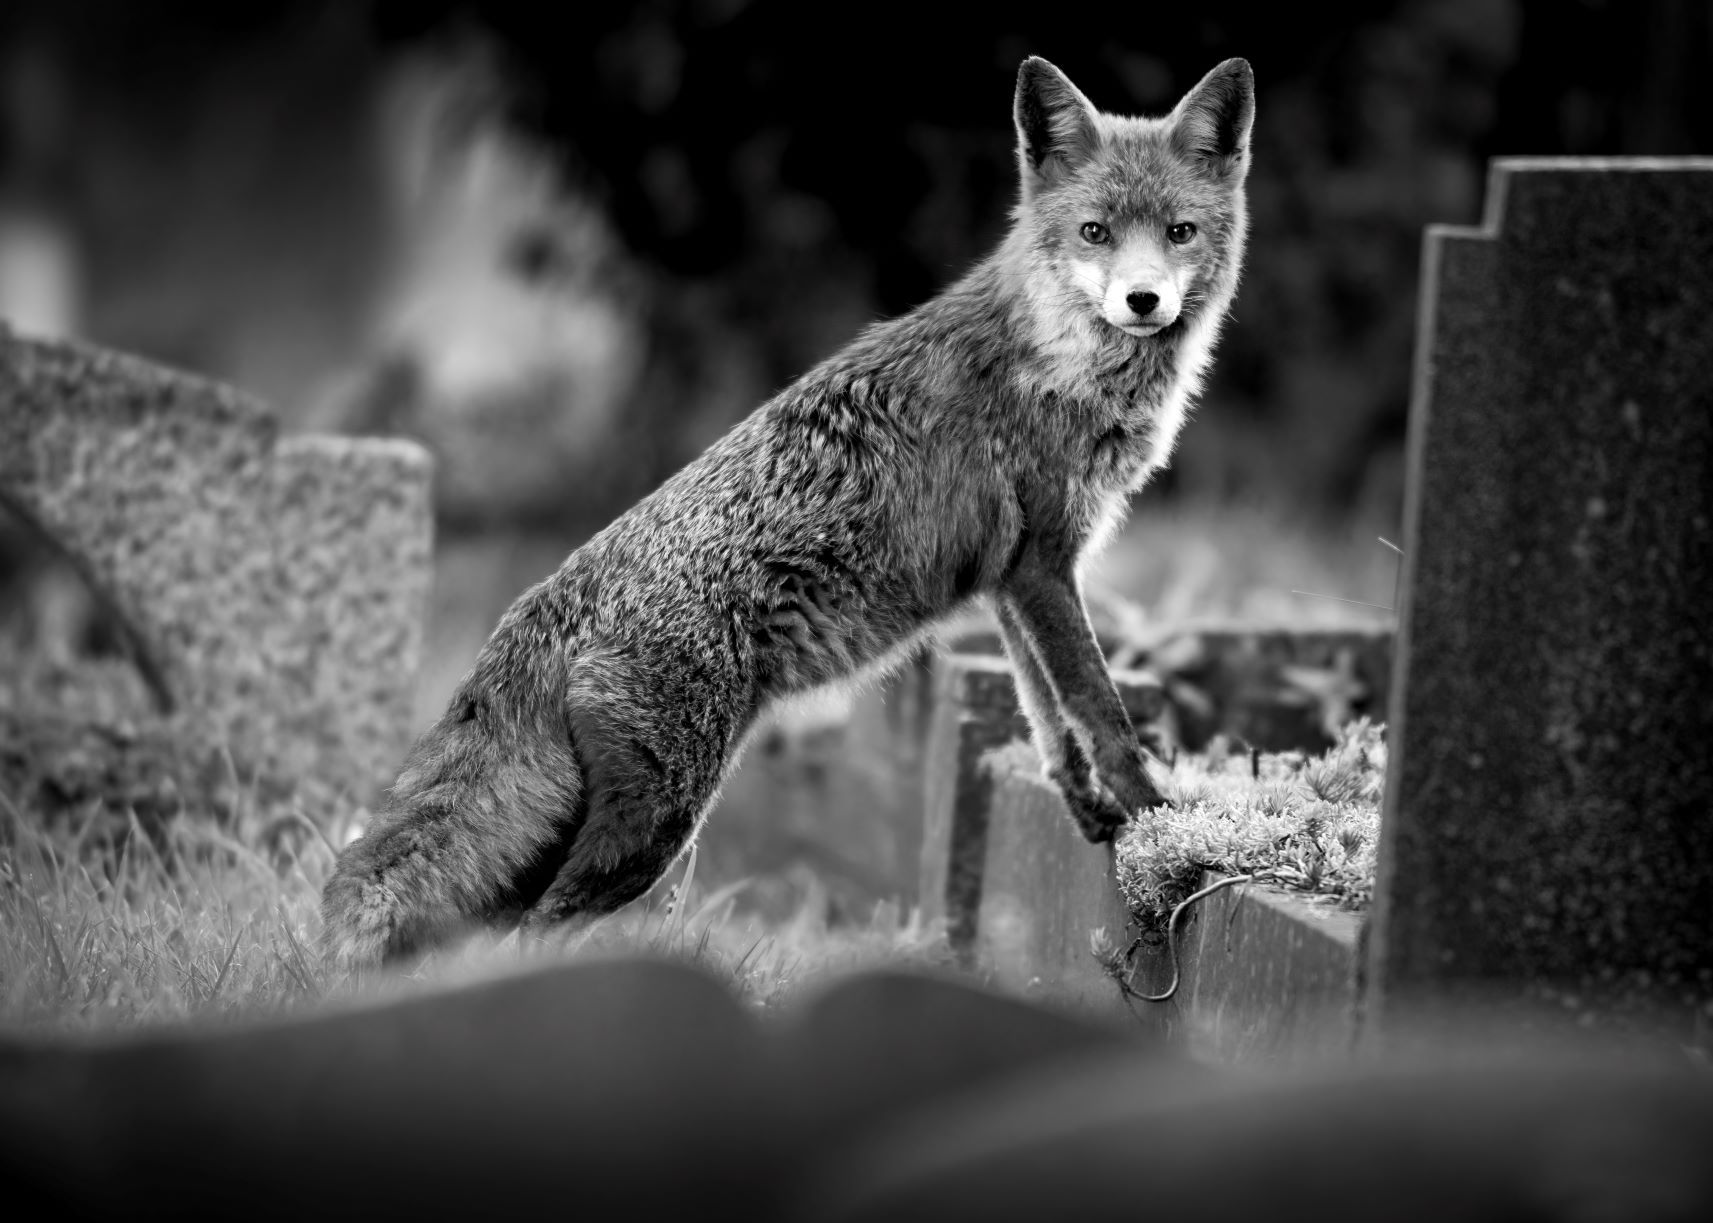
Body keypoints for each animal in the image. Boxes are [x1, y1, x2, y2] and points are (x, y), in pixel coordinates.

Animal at [323, 52, 1260, 959]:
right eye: (1094, 233)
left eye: (1178, 233)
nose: (1142, 300)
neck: (1063, 361)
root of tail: (543, 605)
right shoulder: (1042, 564)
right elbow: (1102, 709)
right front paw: (1160, 817)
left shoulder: (1017, 579)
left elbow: (1045, 714)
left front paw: (1093, 812)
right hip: (656, 825)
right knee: (534, 930)